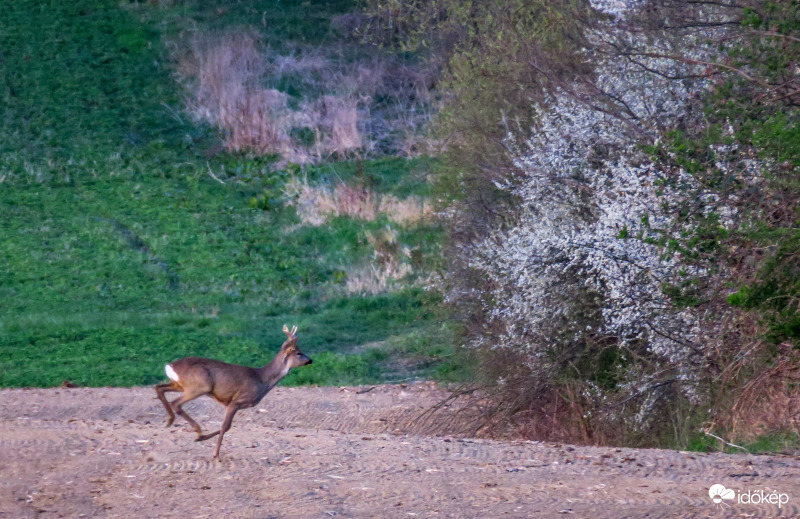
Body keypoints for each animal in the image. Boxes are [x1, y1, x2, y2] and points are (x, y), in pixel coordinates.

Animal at [153, 322, 312, 462]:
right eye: (299, 353)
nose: (310, 360)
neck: (262, 379)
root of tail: (170, 366)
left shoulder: (232, 404)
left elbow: (227, 427)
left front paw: (203, 440)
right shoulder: (236, 401)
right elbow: (225, 426)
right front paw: (216, 455)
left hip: (181, 385)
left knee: (158, 387)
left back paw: (170, 421)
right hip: (200, 386)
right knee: (176, 402)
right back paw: (196, 430)